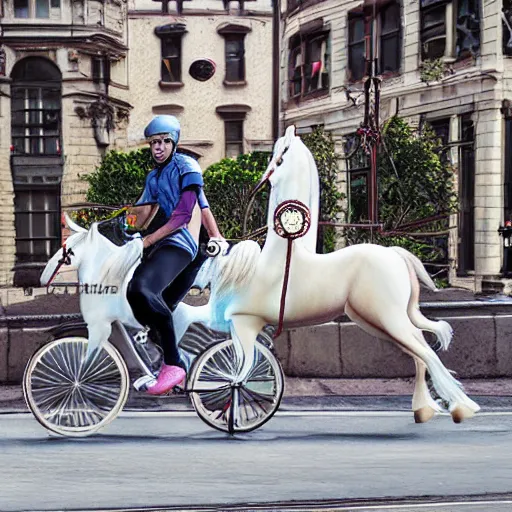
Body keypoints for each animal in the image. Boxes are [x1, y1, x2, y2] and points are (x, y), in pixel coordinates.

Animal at [192, 125, 480, 424]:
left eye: (280, 157)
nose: (260, 182)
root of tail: (396, 254)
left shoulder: (245, 322)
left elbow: (241, 370)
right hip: (375, 321)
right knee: (419, 350)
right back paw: (425, 408)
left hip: (388, 318)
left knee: (425, 352)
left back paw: (461, 407)